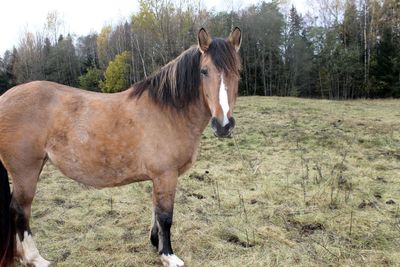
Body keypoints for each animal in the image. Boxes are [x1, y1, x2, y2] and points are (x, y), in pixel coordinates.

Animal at [0, 27, 241, 267]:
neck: (169, 112)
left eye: (238, 71)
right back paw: (35, 258)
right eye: (204, 71)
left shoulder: (158, 178)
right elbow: (165, 216)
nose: (223, 125)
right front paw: (168, 255)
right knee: (20, 211)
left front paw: (156, 244)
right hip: (26, 171)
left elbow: (155, 211)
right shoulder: (166, 175)